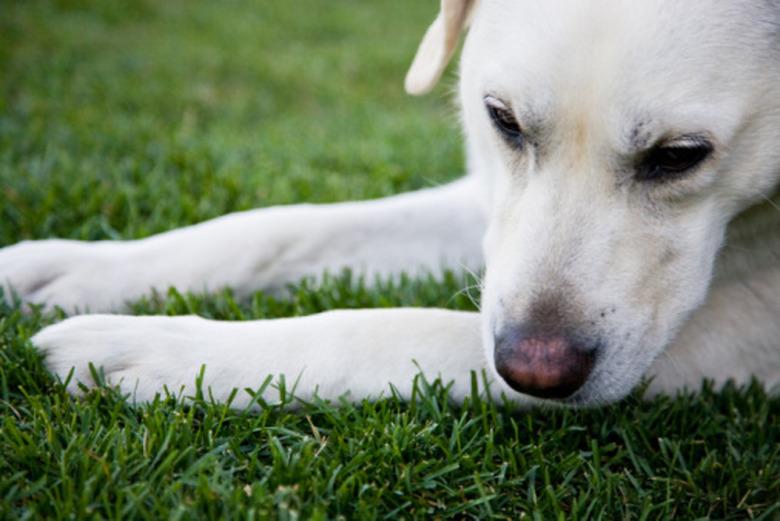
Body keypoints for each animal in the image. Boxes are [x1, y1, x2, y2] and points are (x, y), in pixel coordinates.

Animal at [1, 0, 780, 406]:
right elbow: (280, 229)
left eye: (680, 155)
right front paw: (74, 271)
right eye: (502, 119)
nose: (536, 369)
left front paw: (166, 352)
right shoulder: (493, 215)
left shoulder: (726, 341)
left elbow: (396, 329)